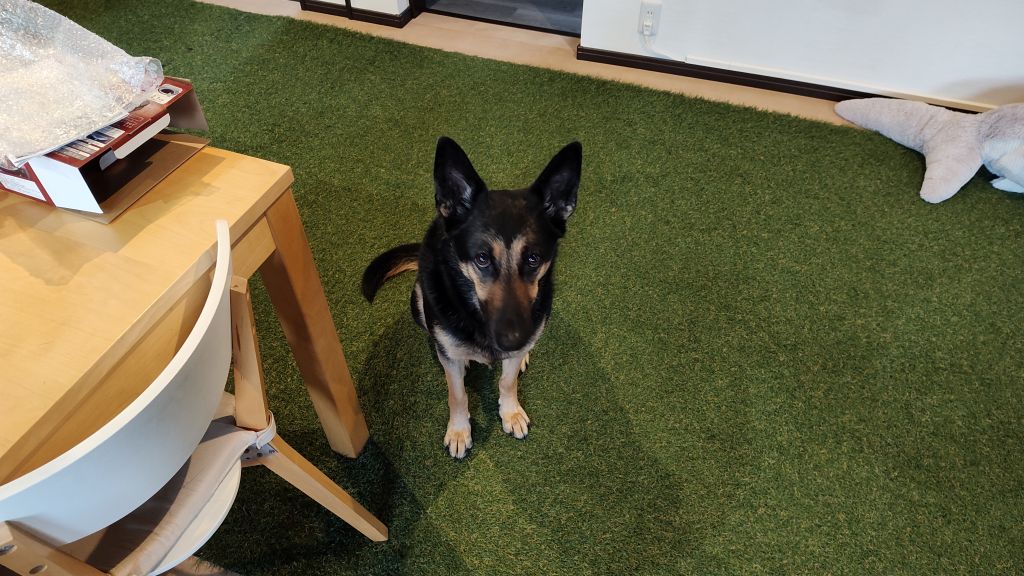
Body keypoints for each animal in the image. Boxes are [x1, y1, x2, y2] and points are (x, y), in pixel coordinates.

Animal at [361, 136, 582, 459]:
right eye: (481, 259)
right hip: (418, 301)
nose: (513, 340)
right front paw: (459, 429)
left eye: (533, 258)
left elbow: (507, 381)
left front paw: (510, 411)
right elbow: (457, 395)